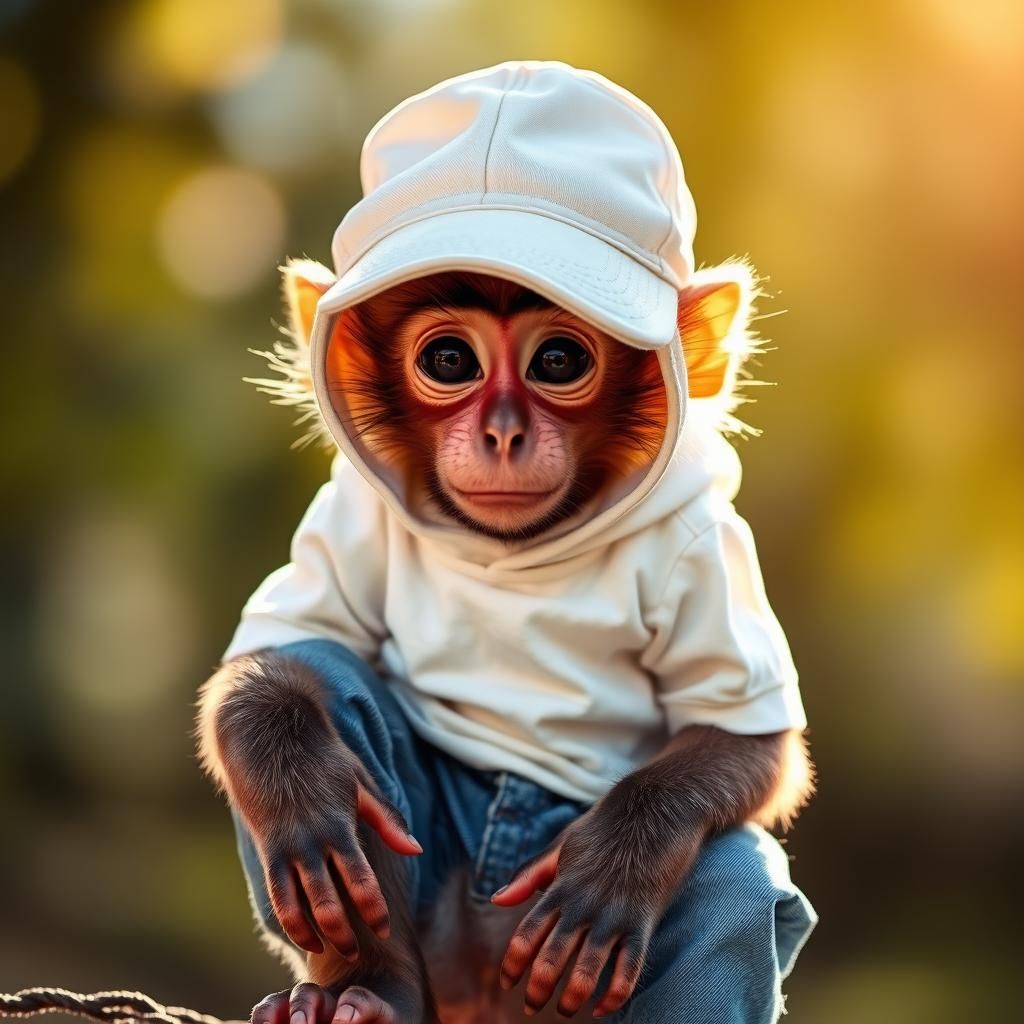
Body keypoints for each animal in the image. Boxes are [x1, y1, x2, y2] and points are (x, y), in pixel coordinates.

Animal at [196, 61, 817, 1024]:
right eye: (449, 361)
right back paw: (367, 986)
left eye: (558, 362)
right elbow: (278, 655)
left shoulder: (705, 549)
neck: (521, 553)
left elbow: (749, 743)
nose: (501, 433)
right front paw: (294, 783)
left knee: (737, 879)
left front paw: (610, 868)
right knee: (330, 681)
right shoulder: (354, 509)